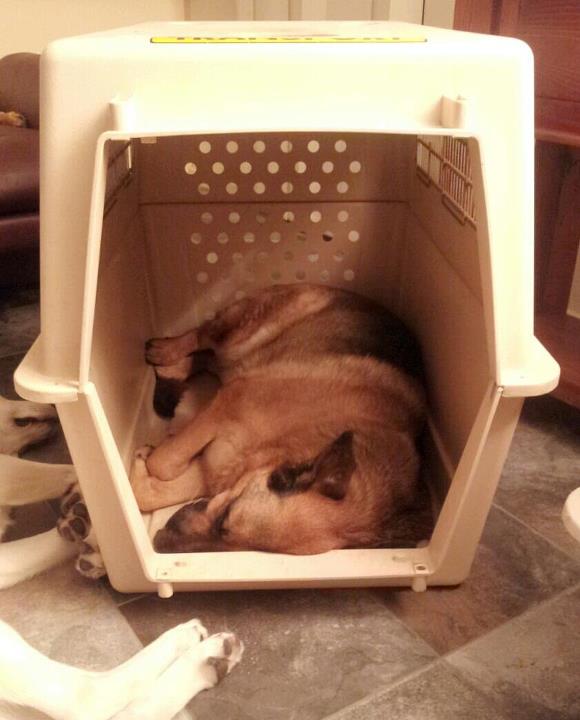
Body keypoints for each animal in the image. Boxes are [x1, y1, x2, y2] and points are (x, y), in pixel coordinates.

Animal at [131, 283, 426, 555]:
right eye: (226, 517)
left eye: (246, 549)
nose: (160, 543)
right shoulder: (227, 405)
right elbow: (163, 463)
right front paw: (150, 457)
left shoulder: (214, 469)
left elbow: (147, 492)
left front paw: (140, 466)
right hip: (237, 335)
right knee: (202, 334)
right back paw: (166, 351)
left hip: (241, 360)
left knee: (208, 360)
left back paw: (174, 368)